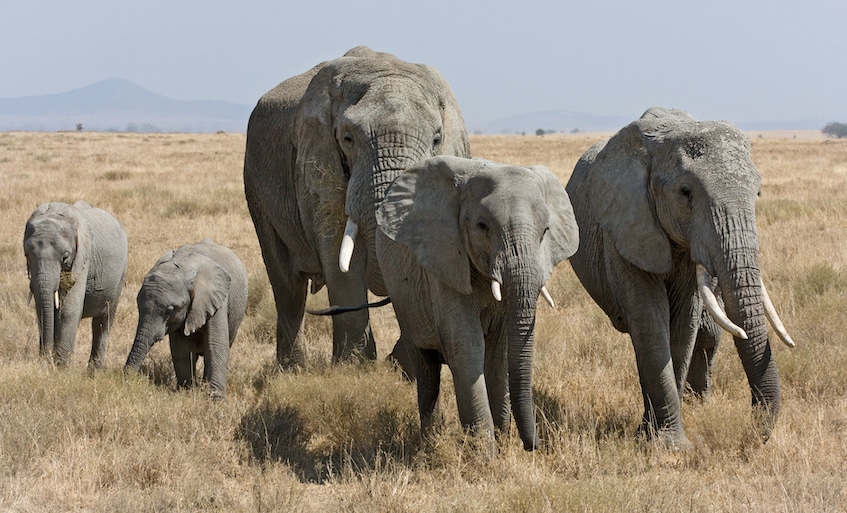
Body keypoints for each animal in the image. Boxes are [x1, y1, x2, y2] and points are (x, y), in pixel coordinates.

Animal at [22, 199, 127, 364]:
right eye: (27, 255)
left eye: (65, 257)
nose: (45, 357)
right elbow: (43, 309)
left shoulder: (83, 257)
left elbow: (69, 310)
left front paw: (60, 366)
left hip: (120, 276)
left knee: (103, 322)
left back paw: (94, 369)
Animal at [122, 238, 248, 398]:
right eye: (137, 304)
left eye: (170, 310)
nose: (127, 379)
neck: (182, 265)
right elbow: (181, 348)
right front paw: (186, 392)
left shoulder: (216, 300)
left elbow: (216, 345)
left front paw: (215, 400)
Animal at [243, 46, 470, 368]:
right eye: (348, 138)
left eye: (437, 139)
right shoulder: (317, 161)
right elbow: (338, 252)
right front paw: (355, 366)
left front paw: (401, 365)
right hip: (256, 185)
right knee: (287, 284)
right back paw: (293, 369)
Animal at [374, 156, 580, 448]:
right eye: (483, 226)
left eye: (545, 232)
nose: (535, 445)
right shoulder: (445, 258)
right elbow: (465, 344)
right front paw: (484, 450)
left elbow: (497, 352)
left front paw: (502, 444)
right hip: (403, 298)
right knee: (426, 370)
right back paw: (430, 441)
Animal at [568, 108, 800, 448]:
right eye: (685, 192)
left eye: (758, 192)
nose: (755, 434)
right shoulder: (626, 229)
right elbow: (652, 322)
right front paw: (667, 446)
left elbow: (683, 324)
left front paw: (659, 439)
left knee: (708, 331)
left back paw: (695, 402)